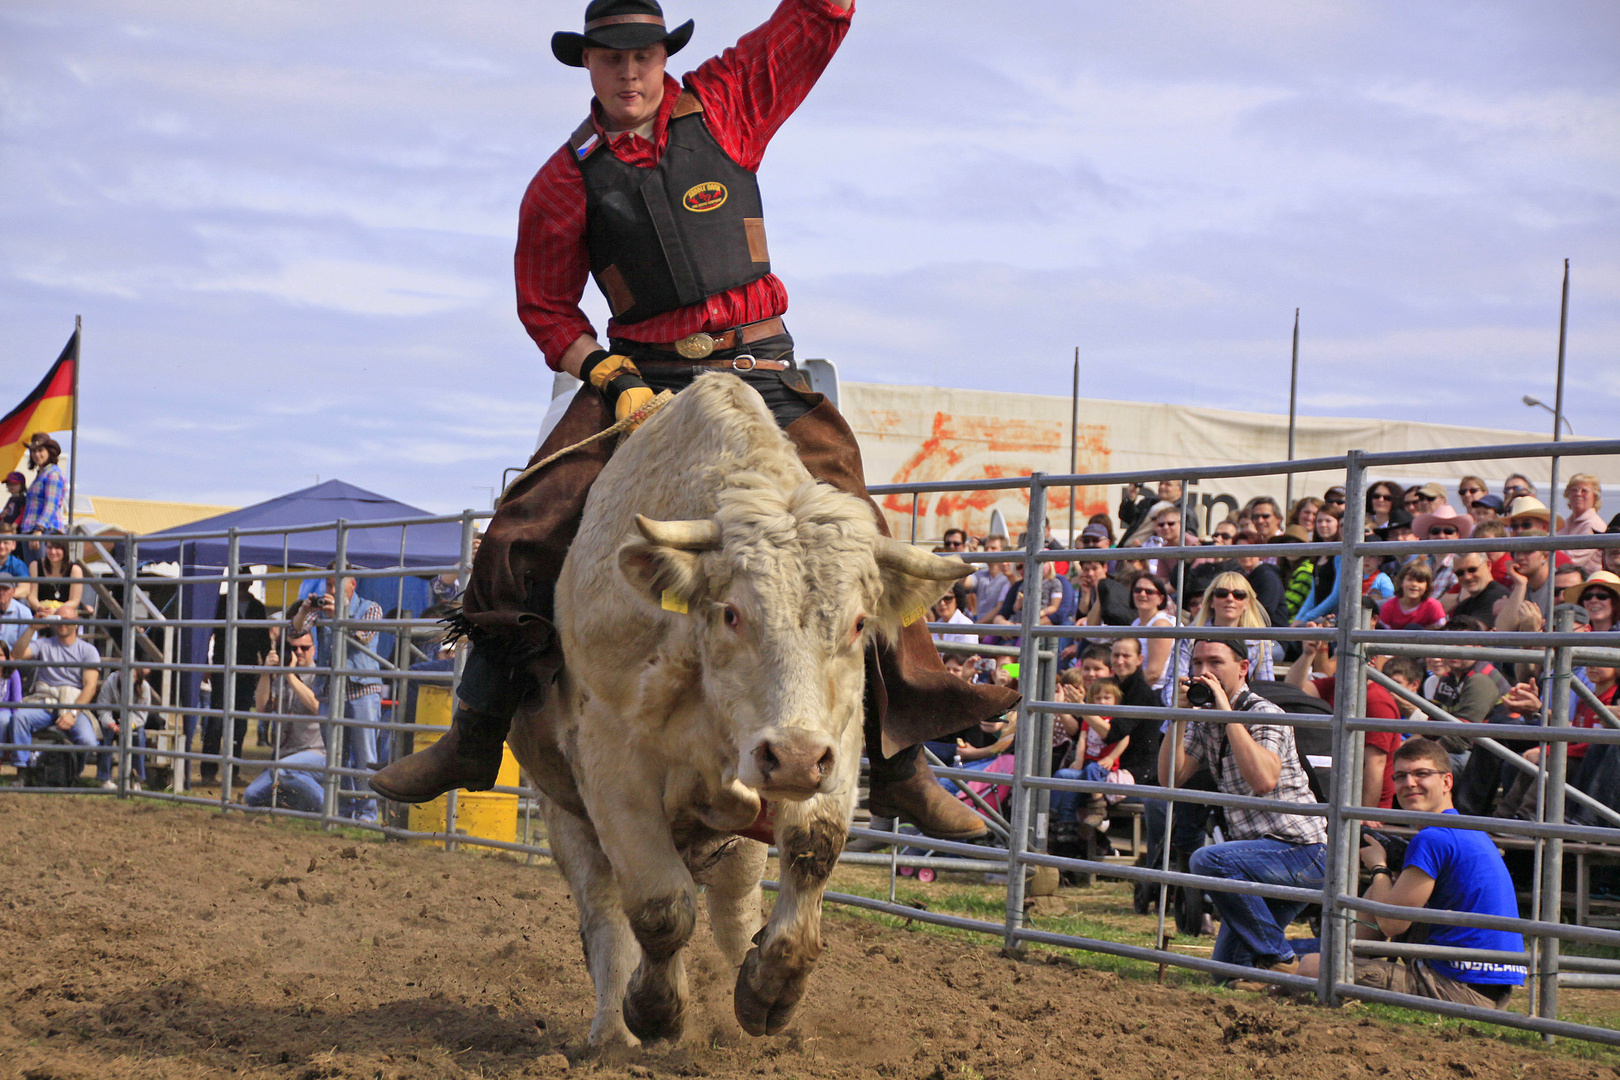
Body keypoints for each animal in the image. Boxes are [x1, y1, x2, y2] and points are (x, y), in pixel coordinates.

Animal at [508, 375, 959, 1049]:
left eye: (859, 623)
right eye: (732, 613)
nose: (792, 757)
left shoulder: (837, 742)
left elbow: (813, 848)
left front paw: (769, 991)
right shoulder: (612, 764)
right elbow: (660, 907)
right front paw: (656, 1010)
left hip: (736, 840)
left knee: (730, 909)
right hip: (563, 811)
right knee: (604, 913)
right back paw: (611, 1033)